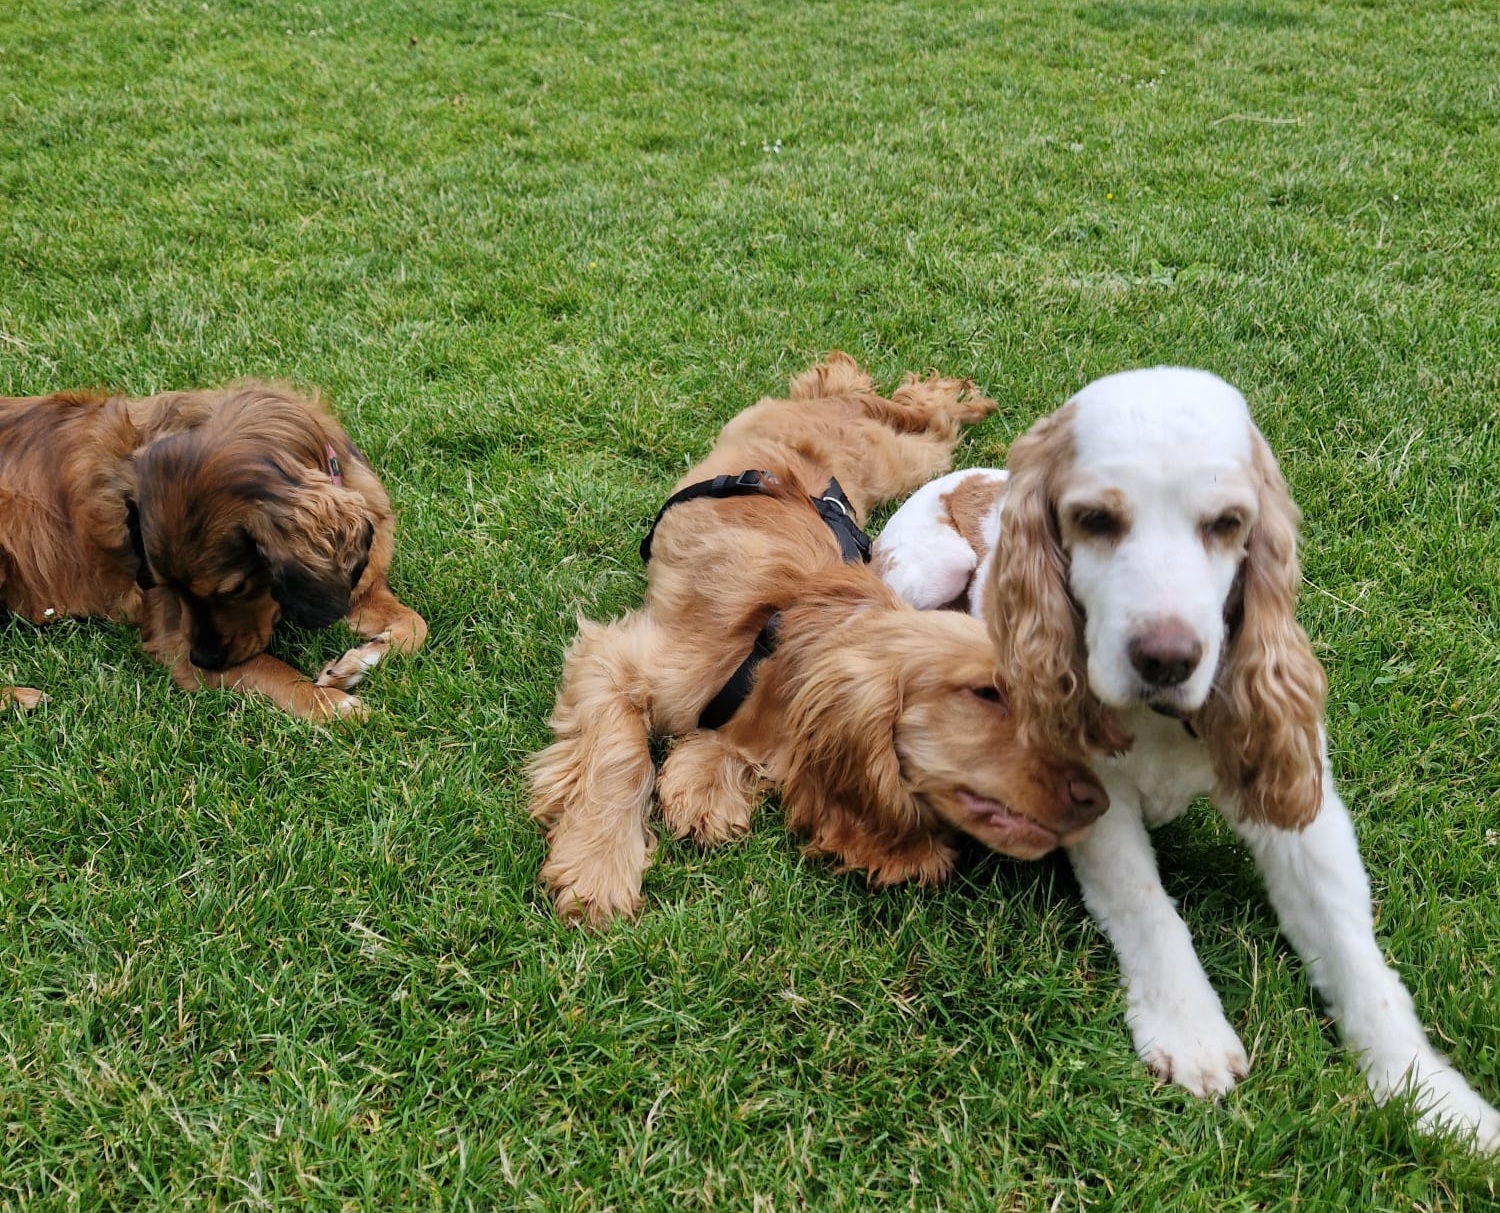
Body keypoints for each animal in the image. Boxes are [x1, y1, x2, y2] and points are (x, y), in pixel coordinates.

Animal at [1, 382, 426, 720]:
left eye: (234, 589)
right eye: (167, 586)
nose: (203, 660)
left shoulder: (355, 586)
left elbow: (416, 625)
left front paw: (357, 662)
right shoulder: (172, 638)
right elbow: (267, 667)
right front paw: (329, 704)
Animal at [527, 353, 1108, 926]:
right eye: (988, 694)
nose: (1098, 797)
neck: (775, 639)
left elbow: (731, 747)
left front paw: (703, 785)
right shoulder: (615, 659)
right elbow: (621, 759)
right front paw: (598, 865)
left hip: (905, 460)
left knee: (917, 413)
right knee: (897, 404)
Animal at [873, 366, 1500, 1149]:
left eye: (1227, 523)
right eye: (1095, 519)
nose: (1166, 659)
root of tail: (970, 477)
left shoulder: (1298, 806)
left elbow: (1356, 953)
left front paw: (1432, 1095)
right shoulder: (1094, 798)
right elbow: (1147, 909)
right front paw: (1191, 1029)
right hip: (929, 567)